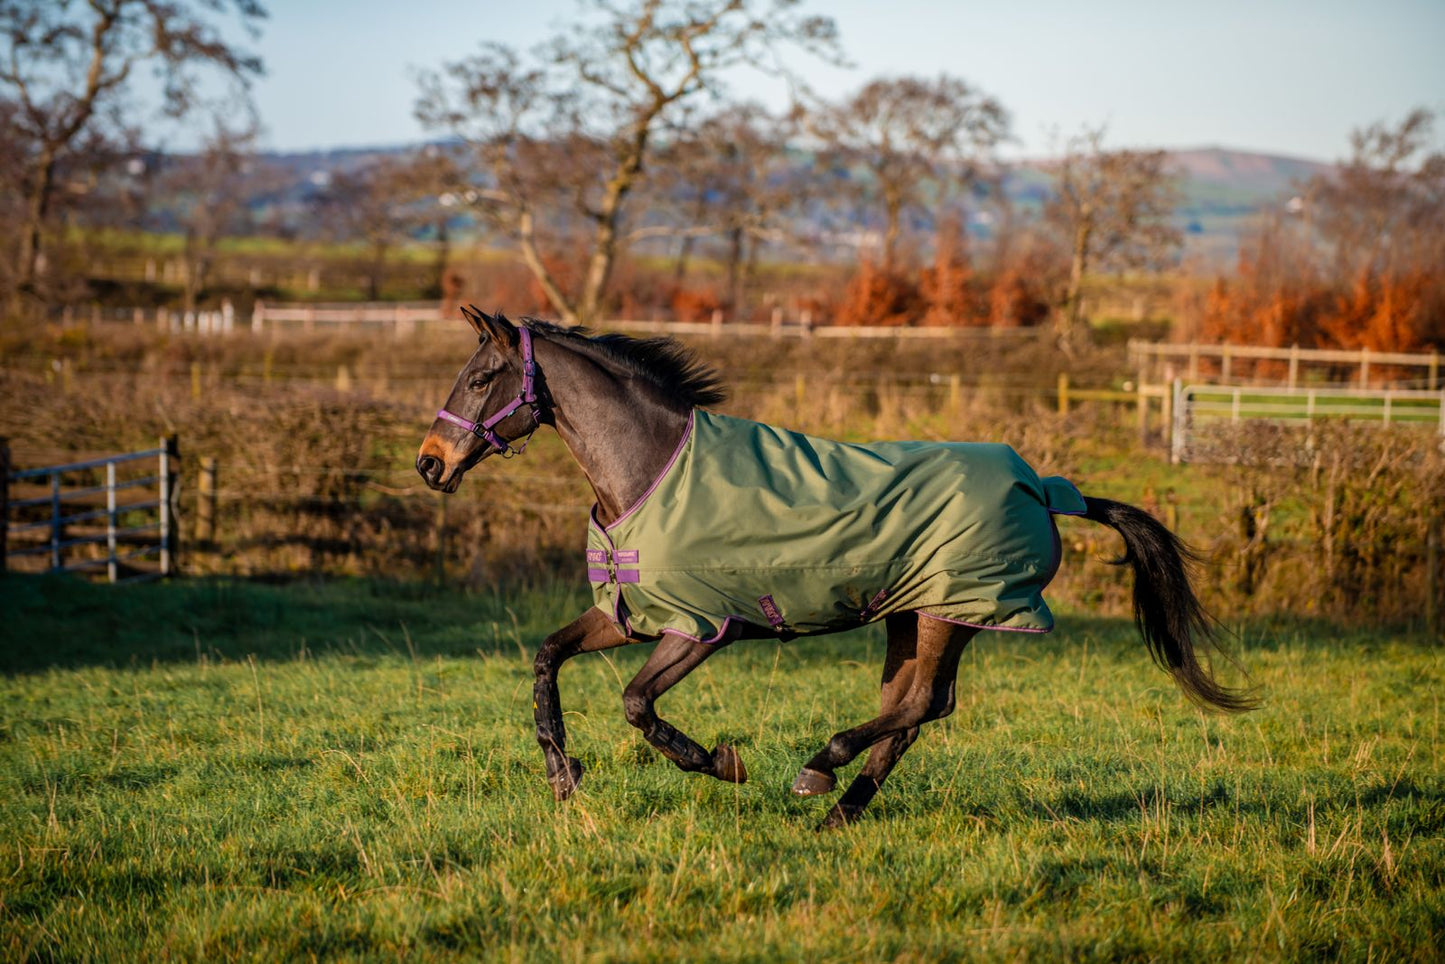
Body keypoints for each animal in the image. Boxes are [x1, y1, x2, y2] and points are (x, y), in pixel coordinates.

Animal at [419, 307, 1254, 832]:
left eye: (483, 376)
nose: (430, 464)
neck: (649, 469)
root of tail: (1046, 488)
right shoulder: (632, 618)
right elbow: (546, 658)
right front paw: (563, 774)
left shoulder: (701, 629)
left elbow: (634, 704)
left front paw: (719, 763)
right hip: (911, 617)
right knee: (914, 713)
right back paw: (836, 814)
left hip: (950, 615)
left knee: (918, 706)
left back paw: (817, 769)